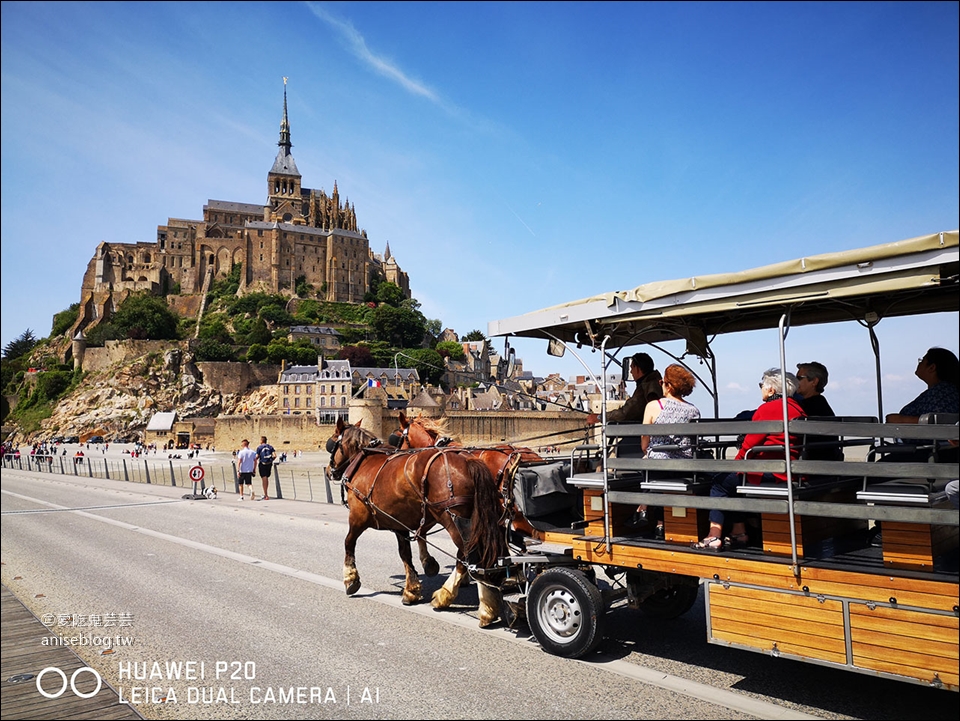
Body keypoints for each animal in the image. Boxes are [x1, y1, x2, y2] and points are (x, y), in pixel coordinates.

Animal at [328, 416, 510, 624]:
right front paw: (413, 588)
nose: (329, 471)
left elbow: (348, 543)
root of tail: (468, 461)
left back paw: (470, 603)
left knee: (471, 554)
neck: (364, 462)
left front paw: (351, 578)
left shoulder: (358, 518)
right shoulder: (400, 522)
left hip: (452, 519)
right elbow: (406, 552)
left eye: (331, 443)